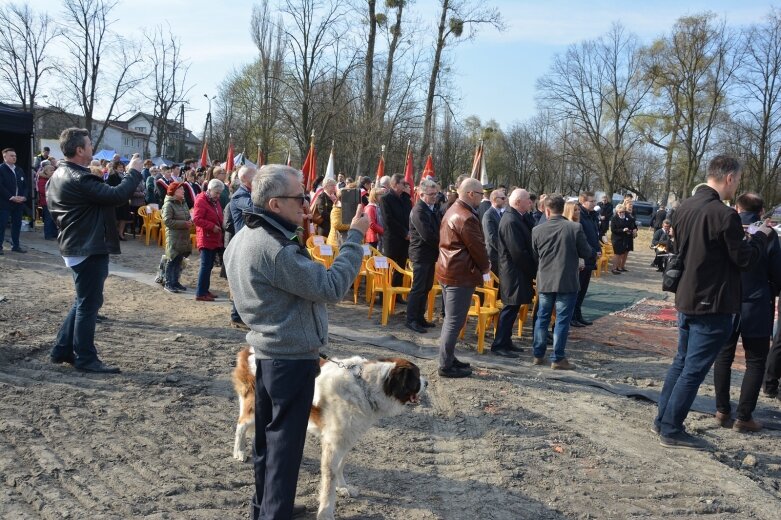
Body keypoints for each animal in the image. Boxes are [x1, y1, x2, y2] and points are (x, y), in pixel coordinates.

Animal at [232, 348, 426, 516]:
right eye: (417, 377)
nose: (428, 382)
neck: (366, 387)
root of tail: (248, 349)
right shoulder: (333, 445)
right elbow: (328, 484)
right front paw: (326, 512)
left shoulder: (346, 439)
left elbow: (340, 466)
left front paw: (343, 487)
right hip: (253, 409)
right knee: (240, 425)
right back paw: (239, 451)